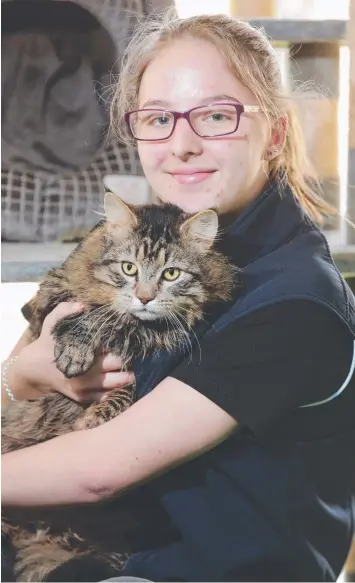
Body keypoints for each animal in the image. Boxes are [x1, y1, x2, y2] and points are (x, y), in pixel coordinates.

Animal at [2, 193, 239, 583]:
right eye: (129, 268)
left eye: (171, 273)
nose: (144, 298)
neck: (138, 328)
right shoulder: (46, 300)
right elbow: (95, 314)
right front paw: (76, 352)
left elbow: (127, 385)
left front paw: (95, 418)